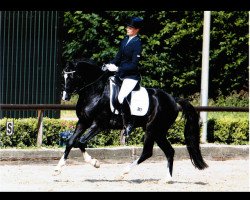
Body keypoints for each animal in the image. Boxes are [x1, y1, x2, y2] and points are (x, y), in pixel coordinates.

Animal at [54, 57, 207, 180]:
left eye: (72, 77)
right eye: (63, 76)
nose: (65, 97)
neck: (96, 92)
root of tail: (173, 99)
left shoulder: (99, 124)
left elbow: (80, 142)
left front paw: (95, 163)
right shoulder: (83, 122)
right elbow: (71, 142)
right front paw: (57, 169)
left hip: (152, 129)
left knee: (147, 152)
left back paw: (124, 172)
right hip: (158, 132)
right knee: (169, 151)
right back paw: (167, 179)